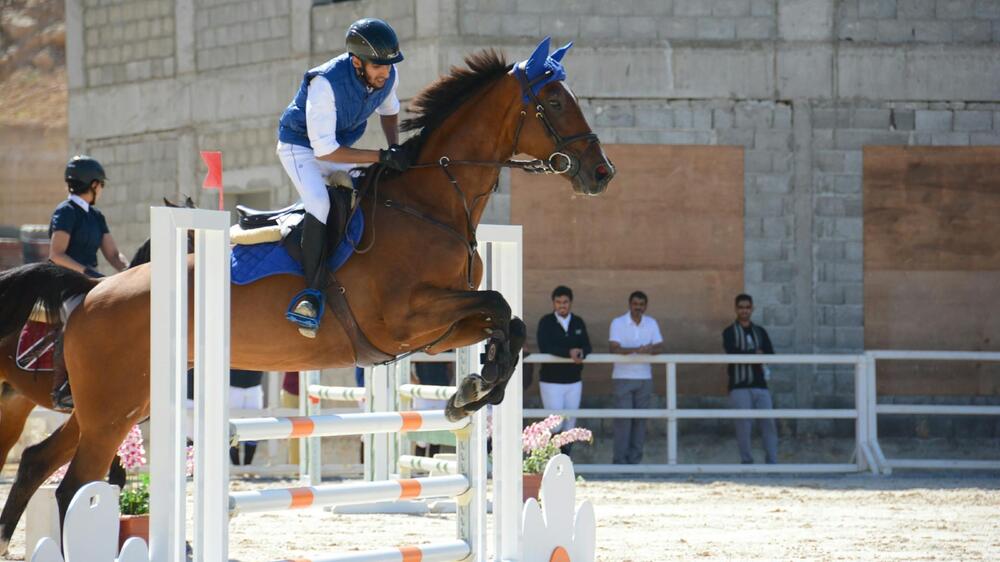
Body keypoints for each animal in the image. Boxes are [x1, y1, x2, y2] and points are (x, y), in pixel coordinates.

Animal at [0, 37, 612, 544]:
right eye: (555, 102)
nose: (602, 173)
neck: (429, 205)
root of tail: (92, 293)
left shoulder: (436, 331)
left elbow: (507, 322)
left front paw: (472, 389)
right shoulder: (406, 318)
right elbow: (501, 307)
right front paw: (475, 389)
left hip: (124, 402)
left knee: (37, 461)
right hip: (112, 407)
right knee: (72, 486)